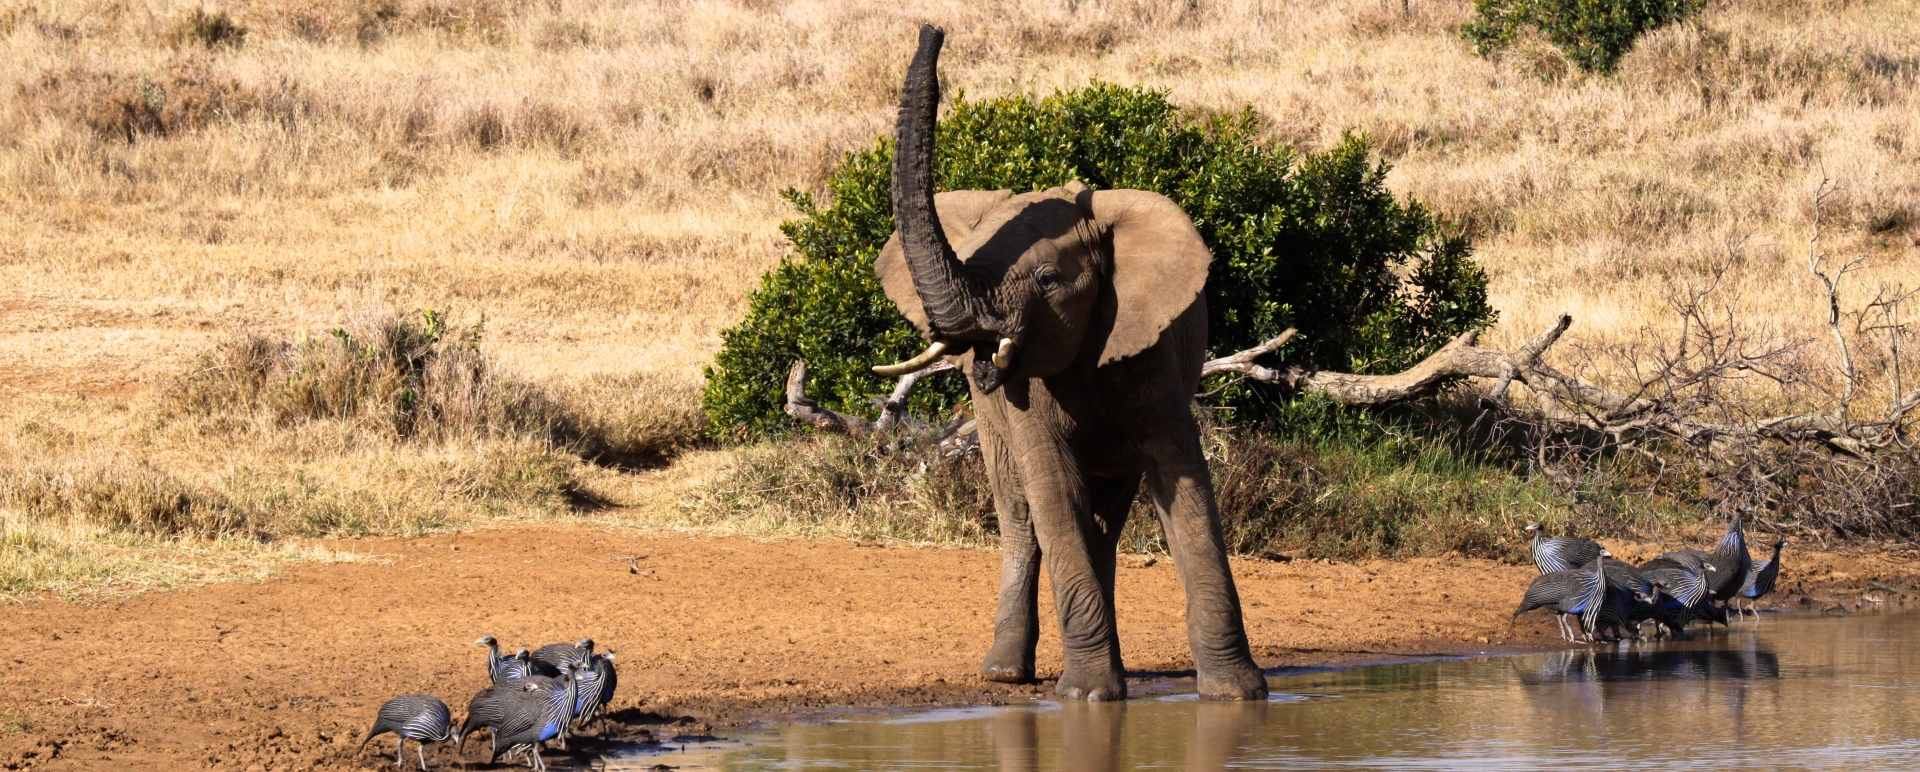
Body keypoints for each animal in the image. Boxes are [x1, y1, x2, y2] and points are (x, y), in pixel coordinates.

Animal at [867, 25, 1268, 701]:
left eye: (1050, 281)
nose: (933, 29)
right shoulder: (1030, 392)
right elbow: (1051, 489)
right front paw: (1088, 697)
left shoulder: (1152, 356)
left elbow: (1185, 486)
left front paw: (1239, 695)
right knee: (1023, 513)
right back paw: (1007, 674)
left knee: (1105, 515)